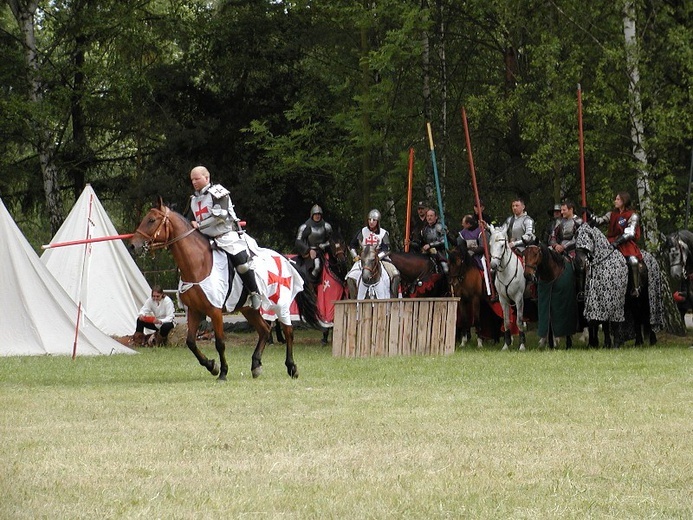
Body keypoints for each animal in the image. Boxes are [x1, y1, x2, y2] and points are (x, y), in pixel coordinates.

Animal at [128, 199, 318, 382]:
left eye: (152, 220)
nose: (132, 246)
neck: (199, 265)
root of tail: (285, 258)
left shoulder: (215, 311)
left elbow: (220, 343)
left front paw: (223, 372)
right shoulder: (195, 311)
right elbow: (190, 342)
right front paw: (212, 365)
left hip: (280, 303)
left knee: (288, 332)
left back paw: (291, 367)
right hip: (248, 308)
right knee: (264, 329)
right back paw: (256, 365)